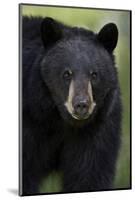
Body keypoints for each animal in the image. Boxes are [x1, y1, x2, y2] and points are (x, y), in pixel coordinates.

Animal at [20, 16, 121, 195]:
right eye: (67, 74)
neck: (61, 121)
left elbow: (90, 173)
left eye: (94, 74)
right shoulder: (30, 119)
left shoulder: (99, 127)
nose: (81, 105)